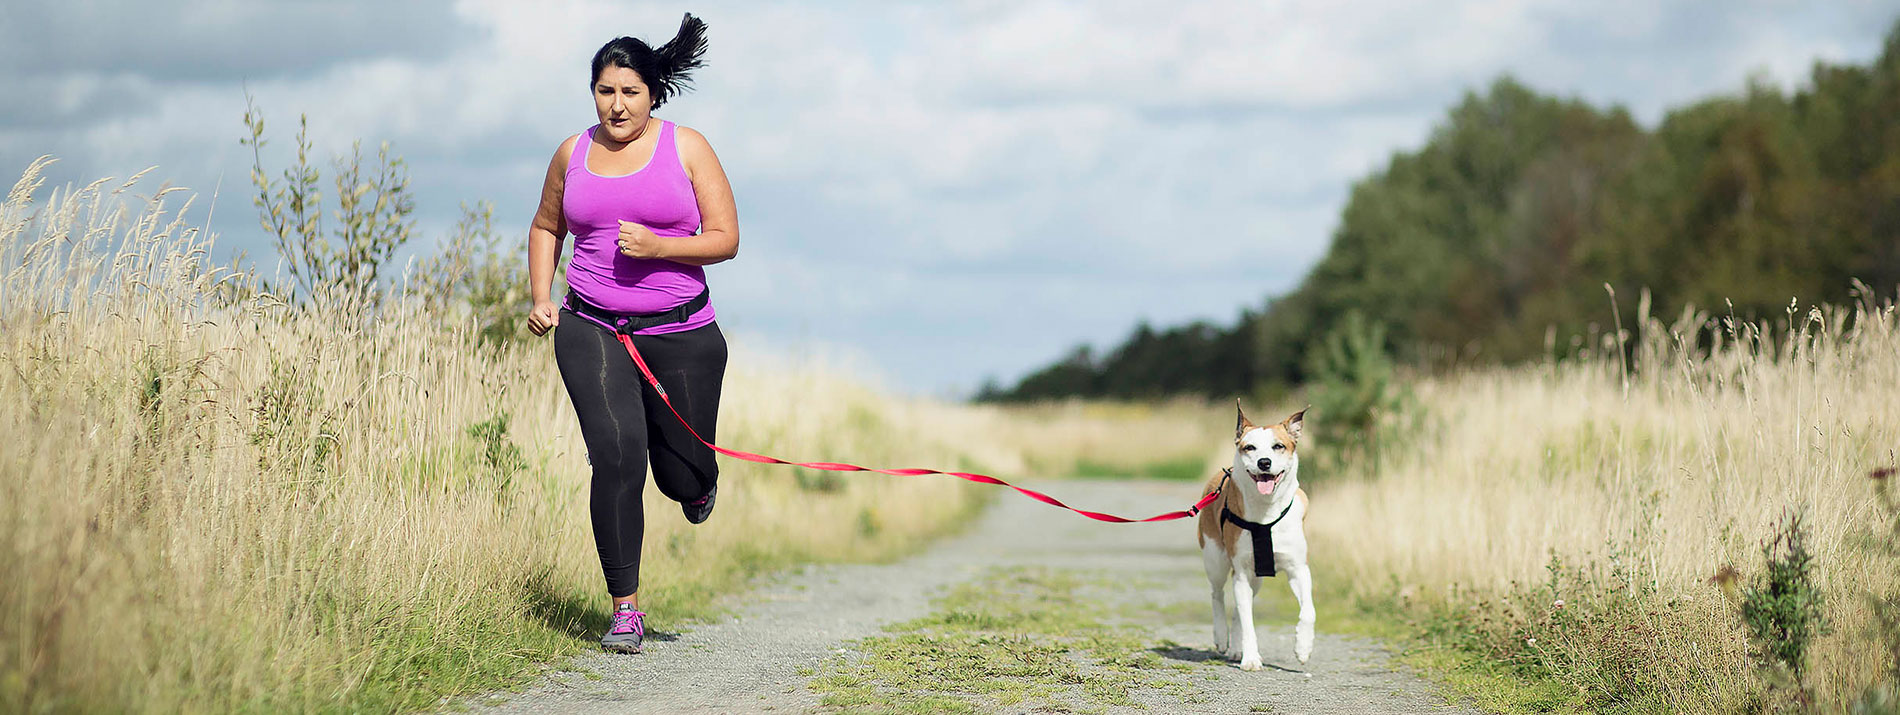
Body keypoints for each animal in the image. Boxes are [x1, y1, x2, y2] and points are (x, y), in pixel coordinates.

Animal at [1193, 403, 1314, 669]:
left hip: (1256, 577)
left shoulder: (1298, 568)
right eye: (1249, 447)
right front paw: (1250, 659)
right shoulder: (1240, 570)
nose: (1264, 462)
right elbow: (1248, 621)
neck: (1266, 511)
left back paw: (1235, 649)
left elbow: (1308, 611)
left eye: (1278, 446)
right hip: (1215, 558)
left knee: (1240, 608)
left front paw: (1303, 647)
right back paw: (1222, 638)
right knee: (1218, 594)